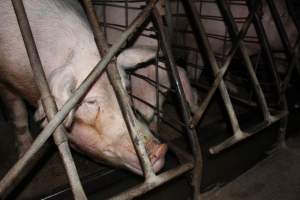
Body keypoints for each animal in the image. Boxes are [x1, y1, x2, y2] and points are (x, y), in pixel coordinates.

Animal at [0, 0, 166, 175]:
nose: (161, 149)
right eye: (90, 102)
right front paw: (24, 153)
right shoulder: (5, 79)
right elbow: (19, 114)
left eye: (126, 89)